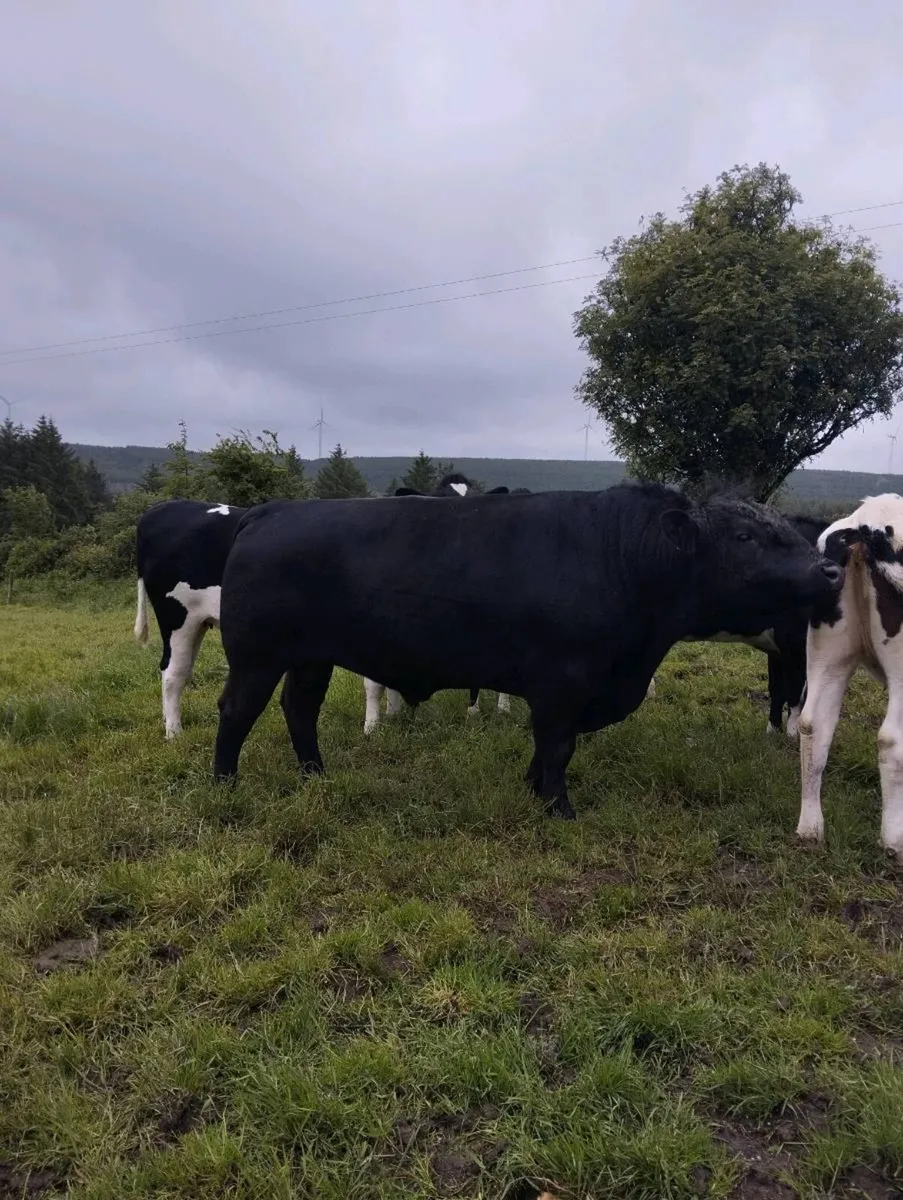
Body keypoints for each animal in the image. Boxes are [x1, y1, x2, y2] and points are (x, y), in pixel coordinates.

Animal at [134, 499, 246, 738]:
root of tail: (159, 508)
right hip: (177, 616)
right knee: (173, 671)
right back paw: (174, 732)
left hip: (198, 622)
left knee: (179, 669)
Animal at [797, 494, 903, 860]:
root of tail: (867, 520)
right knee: (891, 739)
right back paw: (894, 841)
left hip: (829, 652)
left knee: (813, 724)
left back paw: (810, 829)